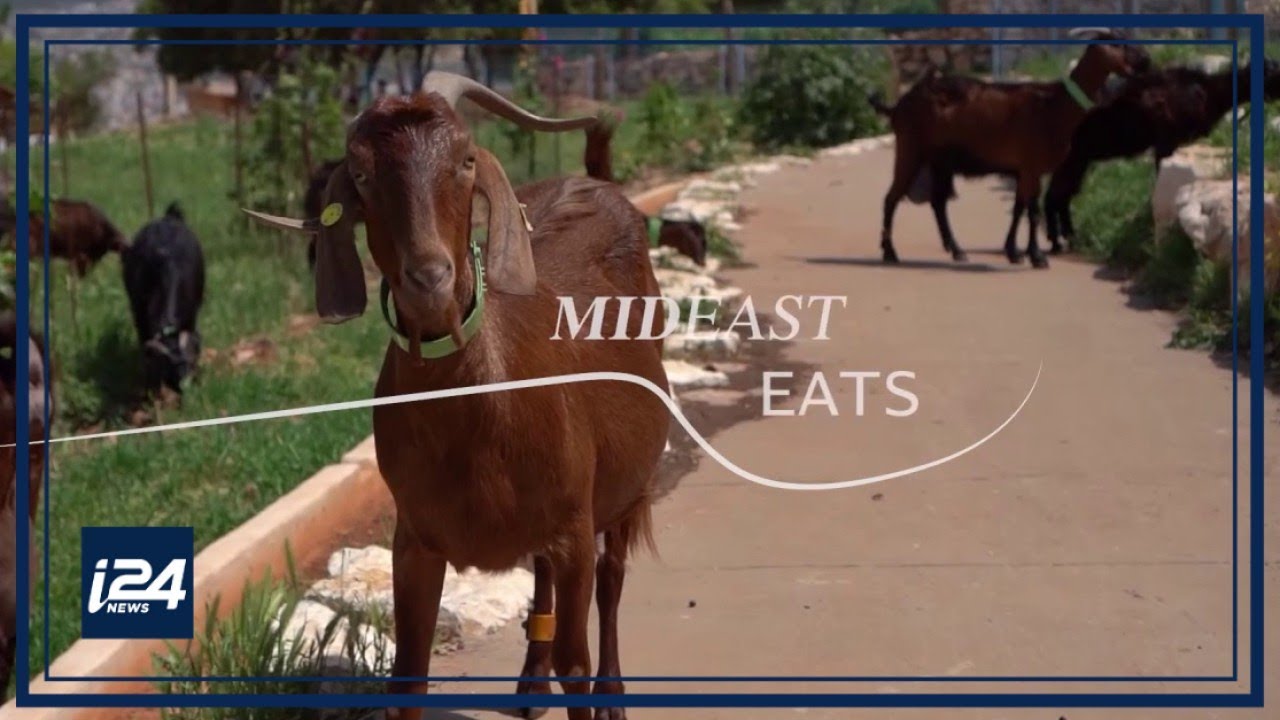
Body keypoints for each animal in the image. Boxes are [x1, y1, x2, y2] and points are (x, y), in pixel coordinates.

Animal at [121, 202, 205, 394]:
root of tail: (168, 216)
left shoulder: (191, 317)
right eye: (167, 365)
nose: (184, 386)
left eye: (190, 362)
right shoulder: (139, 316)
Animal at [244, 73, 671, 720]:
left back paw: (612, 696)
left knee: (613, 576)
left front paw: (586, 691)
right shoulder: (415, 539)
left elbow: (577, 661)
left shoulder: (574, 523)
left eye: (467, 160)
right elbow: (408, 678)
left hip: (628, 482)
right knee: (542, 573)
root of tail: (599, 181)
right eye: (361, 173)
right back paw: (530, 685)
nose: (430, 278)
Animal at [872, 28, 1151, 269]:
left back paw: (957, 251)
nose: (1146, 60)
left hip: (940, 161)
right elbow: (1033, 210)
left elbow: (1019, 207)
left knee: (938, 203)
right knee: (891, 198)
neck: (1055, 106)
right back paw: (890, 253)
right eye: (1117, 43)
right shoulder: (1031, 165)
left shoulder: (1023, 169)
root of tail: (897, 106)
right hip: (910, 147)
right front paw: (1036, 257)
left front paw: (1014, 252)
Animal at [1044, 58, 1280, 253]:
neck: (1206, 91)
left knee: (1062, 195)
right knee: (1054, 195)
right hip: (1071, 158)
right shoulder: (1166, 141)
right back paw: (1056, 242)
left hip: (1079, 159)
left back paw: (1069, 238)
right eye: (1270, 72)